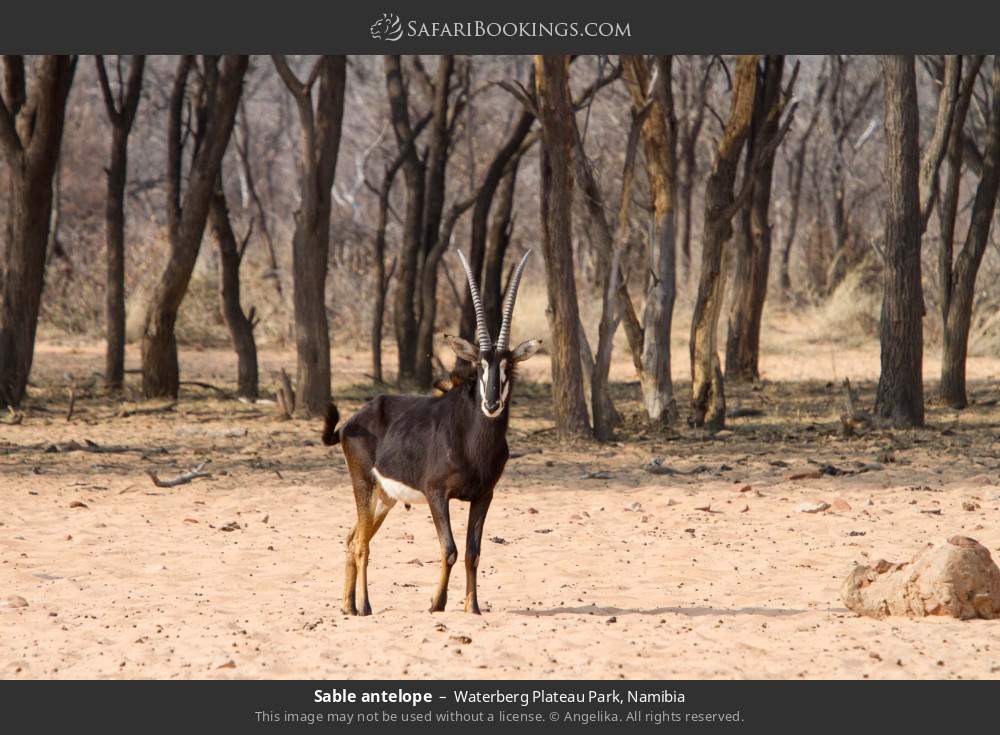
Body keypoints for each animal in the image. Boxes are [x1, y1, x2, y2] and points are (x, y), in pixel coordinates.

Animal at [322, 249, 540, 615]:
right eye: (479, 365)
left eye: (508, 366)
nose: (492, 402)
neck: (472, 441)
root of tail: (352, 421)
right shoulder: (437, 494)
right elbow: (450, 549)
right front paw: (436, 603)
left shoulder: (484, 496)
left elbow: (473, 552)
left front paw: (472, 607)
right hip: (363, 485)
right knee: (363, 544)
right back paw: (364, 606)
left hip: (385, 498)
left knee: (353, 539)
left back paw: (348, 606)